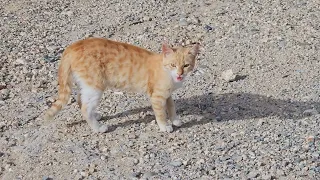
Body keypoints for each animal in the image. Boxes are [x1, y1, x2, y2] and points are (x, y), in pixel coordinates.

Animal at [43, 37, 199, 133]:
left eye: (186, 65)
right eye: (173, 65)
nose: (179, 74)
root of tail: (71, 47)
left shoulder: (167, 94)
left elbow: (171, 107)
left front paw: (175, 120)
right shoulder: (157, 96)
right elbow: (160, 113)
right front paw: (165, 126)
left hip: (87, 86)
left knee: (80, 99)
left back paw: (96, 115)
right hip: (95, 87)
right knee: (85, 108)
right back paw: (98, 128)